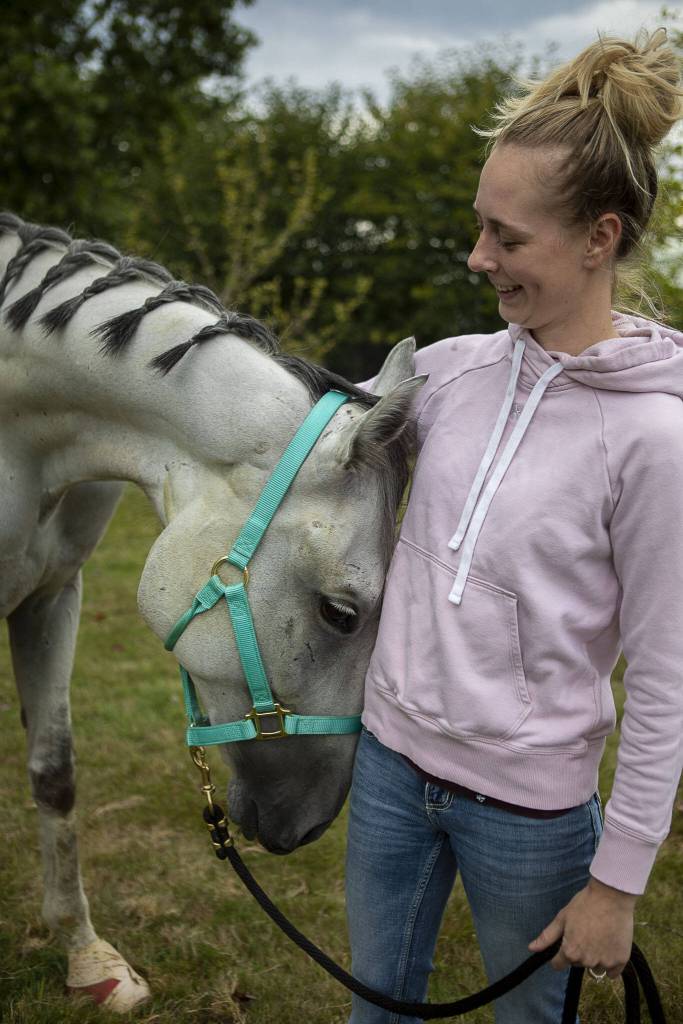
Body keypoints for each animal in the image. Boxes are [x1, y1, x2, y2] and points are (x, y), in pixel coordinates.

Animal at [0, 213, 423, 1011]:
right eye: (341, 614)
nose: (309, 823)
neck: (21, 441)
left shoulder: (51, 596)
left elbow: (54, 772)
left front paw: (87, 958)